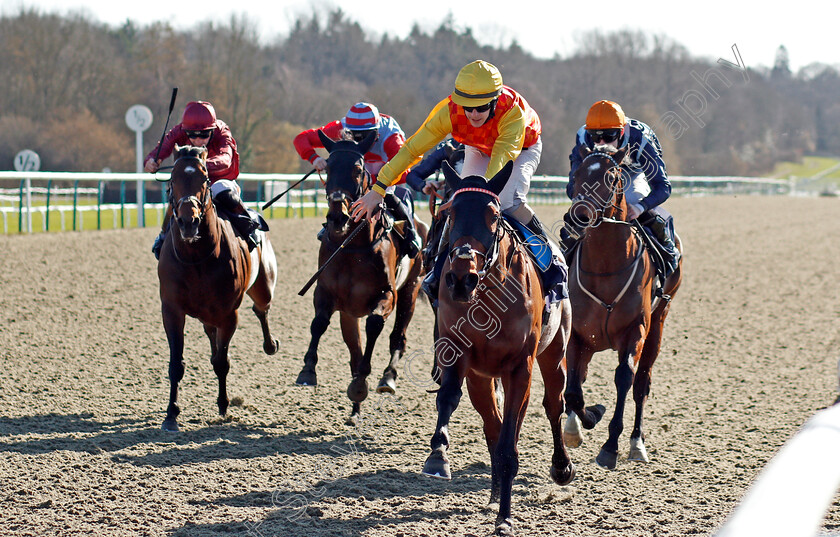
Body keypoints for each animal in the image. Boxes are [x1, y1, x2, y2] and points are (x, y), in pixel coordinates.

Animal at [154, 146, 278, 432]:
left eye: (205, 179)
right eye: (173, 180)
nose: (189, 222)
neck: (197, 257)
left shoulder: (228, 312)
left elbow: (223, 362)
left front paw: (223, 406)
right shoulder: (172, 310)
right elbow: (176, 364)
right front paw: (171, 414)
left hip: (263, 284)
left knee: (262, 309)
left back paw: (270, 344)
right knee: (211, 331)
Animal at [296, 129, 426, 422]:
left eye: (357, 169)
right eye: (328, 166)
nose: (337, 216)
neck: (352, 246)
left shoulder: (387, 294)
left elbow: (375, 324)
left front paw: (361, 383)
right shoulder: (327, 293)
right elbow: (318, 323)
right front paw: (308, 371)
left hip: (411, 290)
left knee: (398, 338)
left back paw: (386, 379)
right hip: (349, 313)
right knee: (354, 350)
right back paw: (355, 410)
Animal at [424, 160, 576, 536]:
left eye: (493, 215)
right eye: (449, 213)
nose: (461, 278)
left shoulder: (520, 366)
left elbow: (510, 441)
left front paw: (505, 518)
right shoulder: (458, 354)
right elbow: (448, 399)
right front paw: (438, 456)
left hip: (553, 355)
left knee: (553, 405)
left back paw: (560, 467)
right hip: (482, 378)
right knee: (492, 425)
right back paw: (493, 494)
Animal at [556, 147, 684, 468]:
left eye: (612, 177)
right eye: (576, 174)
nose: (579, 217)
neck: (606, 268)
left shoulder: (635, 329)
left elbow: (625, 377)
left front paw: (610, 446)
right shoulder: (578, 334)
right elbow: (573, 389)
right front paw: (582, 423)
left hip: (658, 324)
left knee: (641, 384)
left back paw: (637, 443)